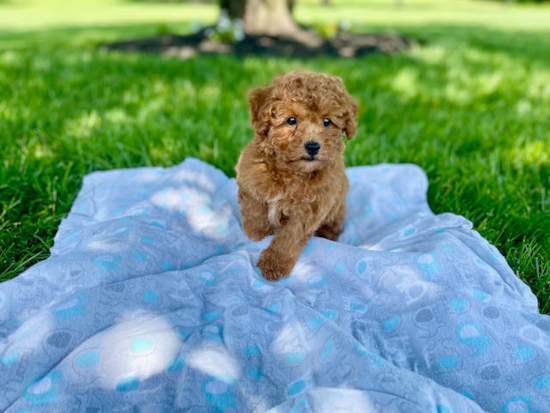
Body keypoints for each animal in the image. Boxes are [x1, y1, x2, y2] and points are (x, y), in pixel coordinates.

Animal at [236, 71, 358, 282]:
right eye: (291, 120)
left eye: (327, 122)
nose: (313, 146)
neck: (290, 173)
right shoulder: (250, 179)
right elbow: (254, 211)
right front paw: (256, 236)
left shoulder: (309, 209)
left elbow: (289, 238)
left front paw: (274, 264)